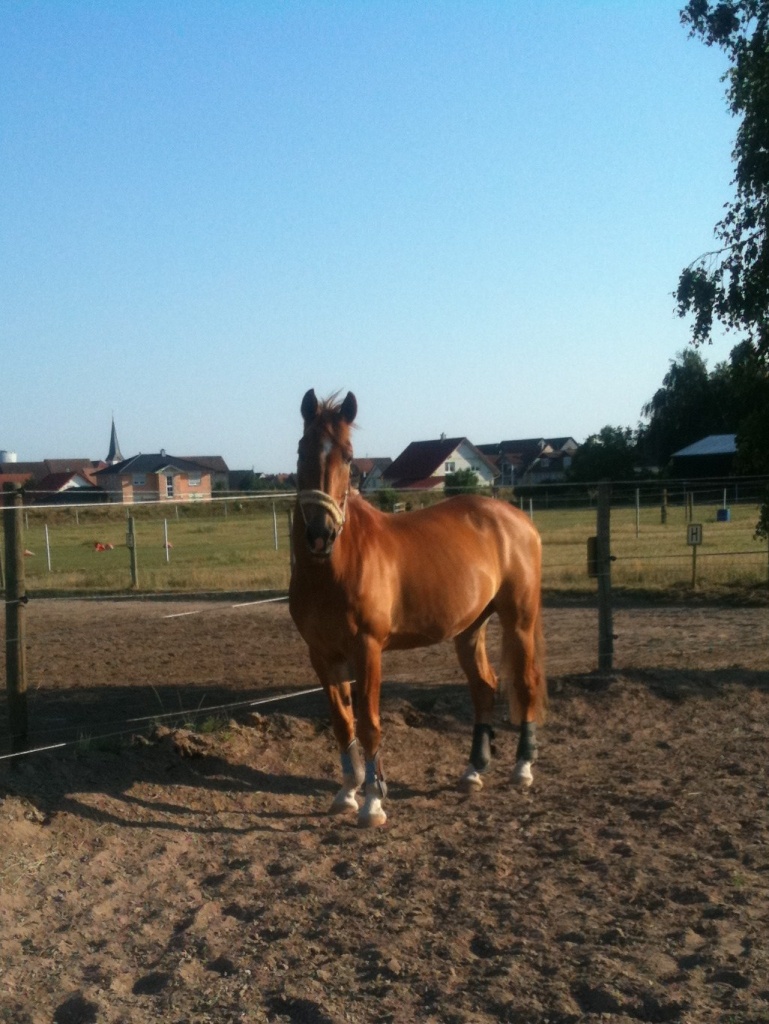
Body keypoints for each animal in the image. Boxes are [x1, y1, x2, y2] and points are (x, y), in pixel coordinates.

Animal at [288, 389, 547, 827]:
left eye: (348, 455)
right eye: (301, 449)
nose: (320, 533)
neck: (333, 566)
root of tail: (517, 519)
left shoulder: (368, 648)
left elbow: (369, 723)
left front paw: (373, 802)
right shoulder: (321, 654)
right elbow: (342, 722)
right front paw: (347, 792)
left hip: (520, 619)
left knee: (525, 684)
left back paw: (522, 769)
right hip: (470, 628)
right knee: (484, 687)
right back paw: (473, 771)